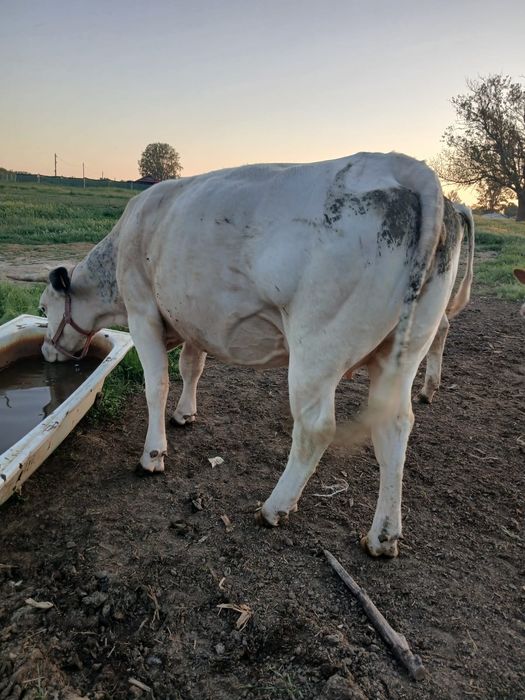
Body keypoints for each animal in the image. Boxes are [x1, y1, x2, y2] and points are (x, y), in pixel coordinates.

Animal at [37, 152, 466, 558]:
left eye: (43, 307)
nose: (45, 352)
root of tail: (403, 166)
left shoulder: (143, 312)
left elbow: (156, 384)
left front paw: (153, 454)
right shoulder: (194, 319)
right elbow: (191, 367)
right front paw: (185, 413)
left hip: (318, 348)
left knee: (316, 428)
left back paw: (275, 508)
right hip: (403, 351)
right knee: (394, 426)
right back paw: (382, 537)